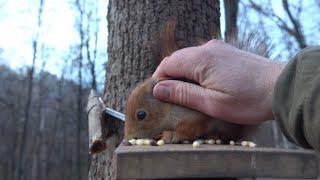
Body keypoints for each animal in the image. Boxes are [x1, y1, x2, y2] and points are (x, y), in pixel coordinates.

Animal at [123, 21, 255, 143]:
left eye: (141, 115)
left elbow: (190, 128)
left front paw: (173, 135)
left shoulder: (197, 116)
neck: (168, 108)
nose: (128, 138)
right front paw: (162, 134)